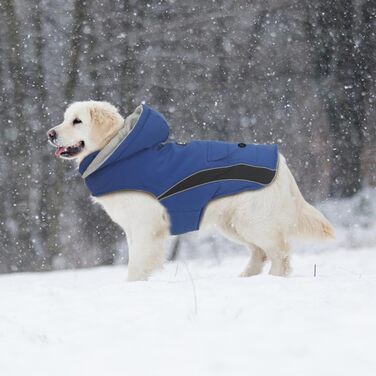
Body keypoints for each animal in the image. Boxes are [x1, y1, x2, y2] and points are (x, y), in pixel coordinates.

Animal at [47, 101, 334, 280]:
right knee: (260, 252)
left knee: (280, 252)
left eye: (77, 121)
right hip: (233, 224)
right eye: (64, 119)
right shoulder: (132, 227)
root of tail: (281, 161)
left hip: (254, 222)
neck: (117, 151)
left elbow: (137, 263)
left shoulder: (146, 224)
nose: (50, 133)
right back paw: (244, 278)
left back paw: (274, 279)